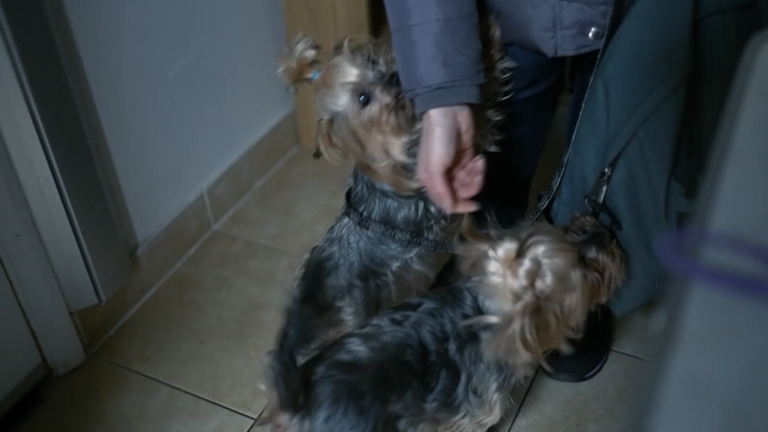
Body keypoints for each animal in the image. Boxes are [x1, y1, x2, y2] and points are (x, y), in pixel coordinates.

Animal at [262, 216, 624, 432]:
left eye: (568, 231)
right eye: (585, 265)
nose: (606, 232)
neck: (490, 308)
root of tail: (299, 404)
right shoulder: (473, 416)